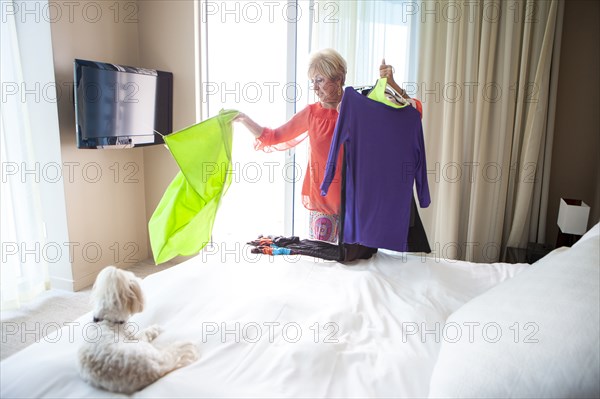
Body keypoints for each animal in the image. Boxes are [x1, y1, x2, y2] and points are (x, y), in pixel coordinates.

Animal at [76, 268, 199, 396]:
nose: (141, 279)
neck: (107, 319)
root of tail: (156, 367)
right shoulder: (134, 337)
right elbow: (146, 332)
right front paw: (155, 328)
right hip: (145, 347)